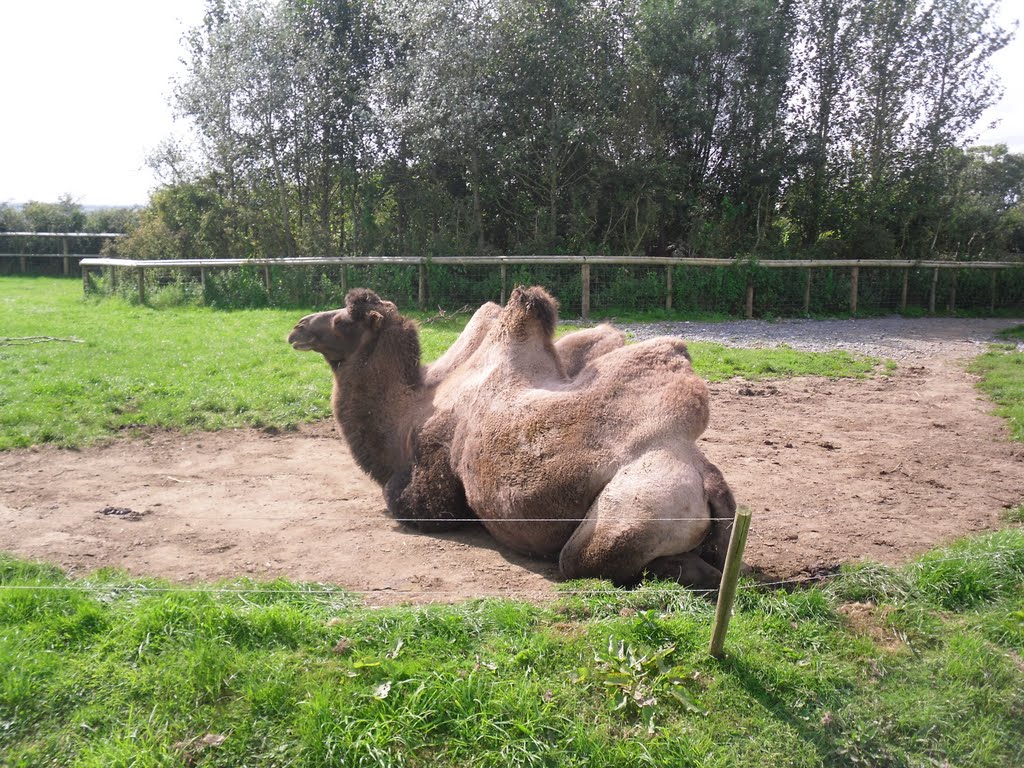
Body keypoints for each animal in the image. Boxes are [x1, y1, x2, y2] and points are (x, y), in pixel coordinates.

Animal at [288, 286, 737, 589]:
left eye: (344, 319)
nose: (296, 328)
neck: (410, 411)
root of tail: (705, 474)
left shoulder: (431, 486)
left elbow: (409, 503)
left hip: (635, 509)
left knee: (586, 560)